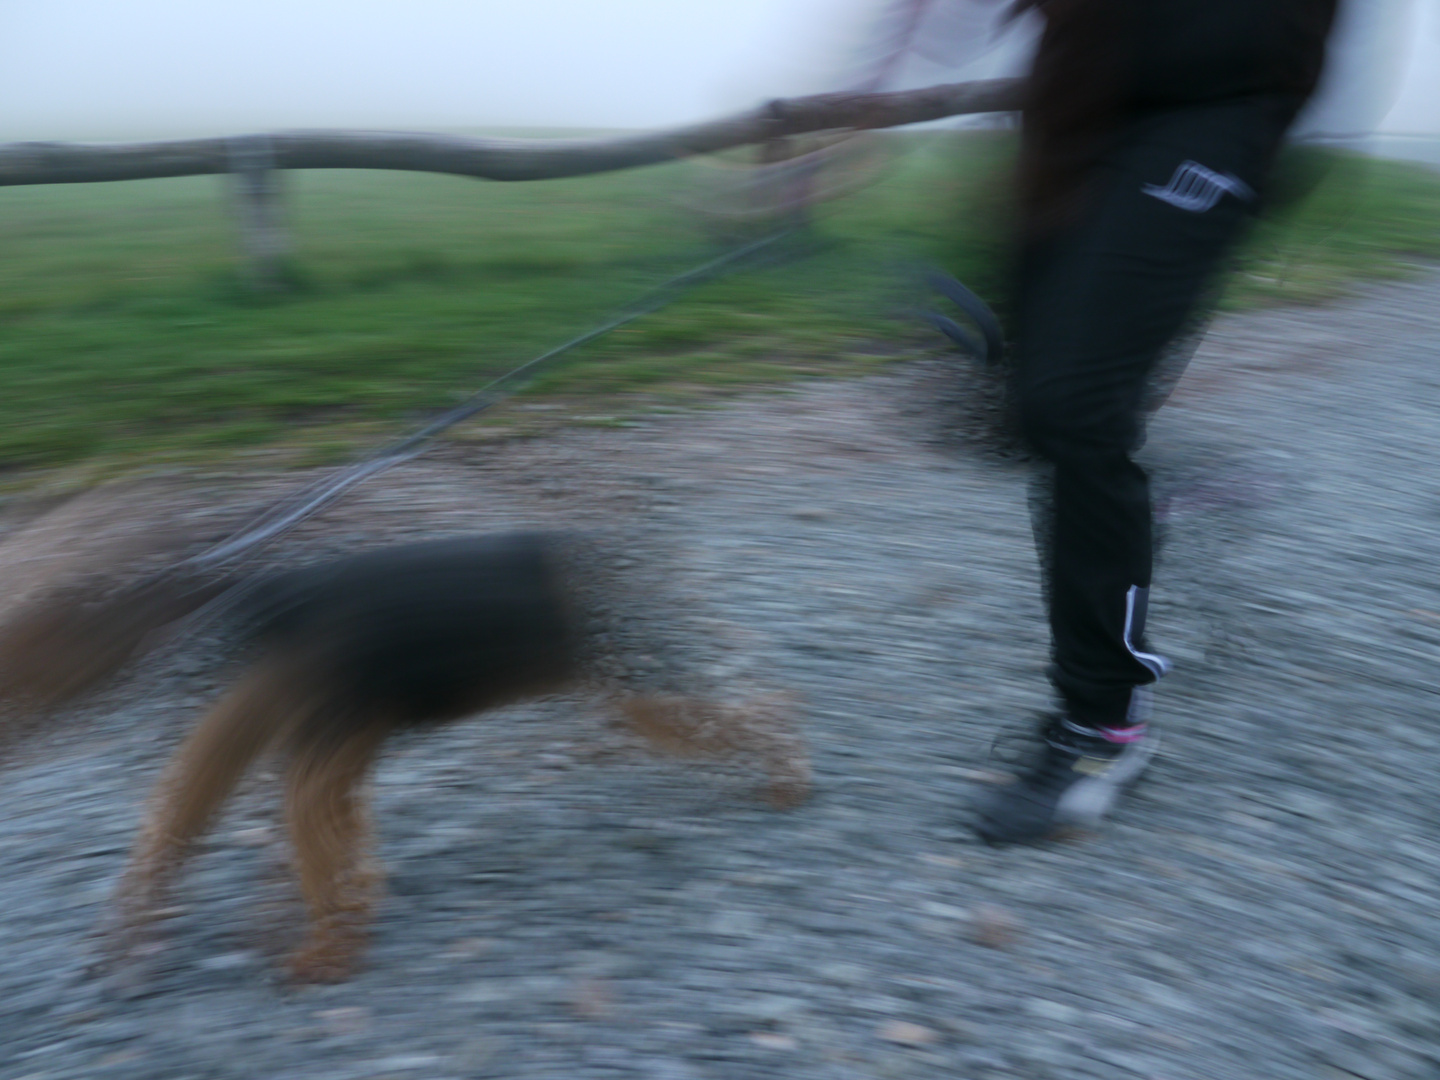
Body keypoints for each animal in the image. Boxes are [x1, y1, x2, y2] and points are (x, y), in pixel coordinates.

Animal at [0, 532, 812, 979]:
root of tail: (635, 557)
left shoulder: (322, 750)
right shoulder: (307, 745)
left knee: (764, 706)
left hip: (644, 677)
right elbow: (212, 824)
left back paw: (789, 779)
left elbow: (321, 851)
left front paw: (324, 953)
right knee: (752, 702)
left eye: (24, 643)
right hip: (630, 684)